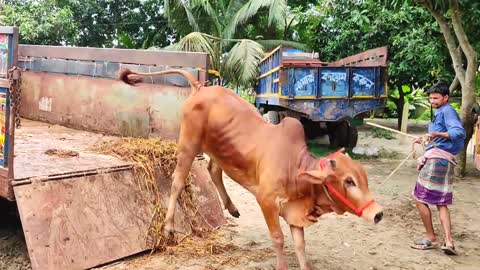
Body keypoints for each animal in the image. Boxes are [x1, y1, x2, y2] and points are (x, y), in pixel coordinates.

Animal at [120, 69, 382, 270]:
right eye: (349, 181)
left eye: (364, 178)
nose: (378, 213)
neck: (295, 168)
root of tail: (201, 87)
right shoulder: (266, 201)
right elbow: (278, 239)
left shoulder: (293, 211)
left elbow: (300, 245)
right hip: (188, 144)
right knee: (177, 181)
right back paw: (169, 227)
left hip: (220, 147)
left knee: (214, 170)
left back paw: (231, 207)